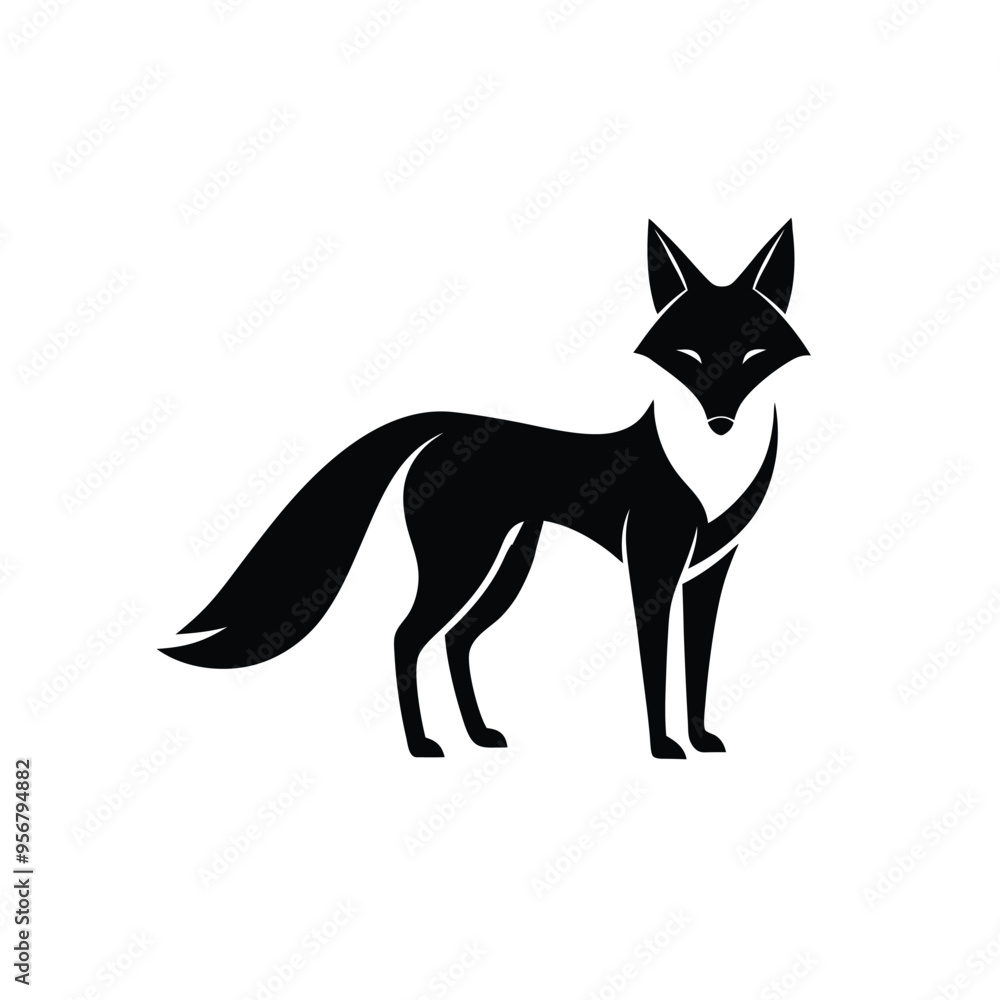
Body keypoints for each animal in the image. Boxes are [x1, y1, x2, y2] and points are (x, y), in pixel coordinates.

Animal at [161, 219, 808, 758]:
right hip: (463, 562)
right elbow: (657, 666)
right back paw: (422, 745)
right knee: (407, 636)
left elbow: (698, 665)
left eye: (754, 351)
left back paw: (477, 735)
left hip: (505, 562)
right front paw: (663, 746)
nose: (719, 422)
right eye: (688, 354)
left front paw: (700, 739)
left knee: (456, 640)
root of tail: (446, 426)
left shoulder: (710, 572)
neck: (711, 467)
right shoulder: (652, 566)